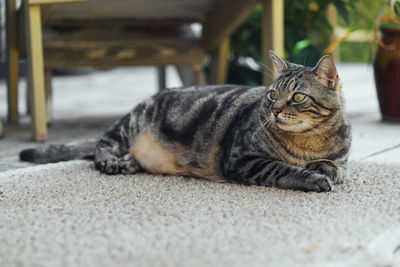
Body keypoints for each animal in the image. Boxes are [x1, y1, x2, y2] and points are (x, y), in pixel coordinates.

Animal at [19, 50, 350, 193]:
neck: (310, 141)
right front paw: (313, 178)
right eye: (271, 95)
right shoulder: (243, 159)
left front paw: (325, 170)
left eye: (297, 97)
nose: (275, 111)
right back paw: (115, 162)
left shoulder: (339, 158)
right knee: (102, 144)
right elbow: (282, 168)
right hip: (130, 123)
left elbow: (335, 166)